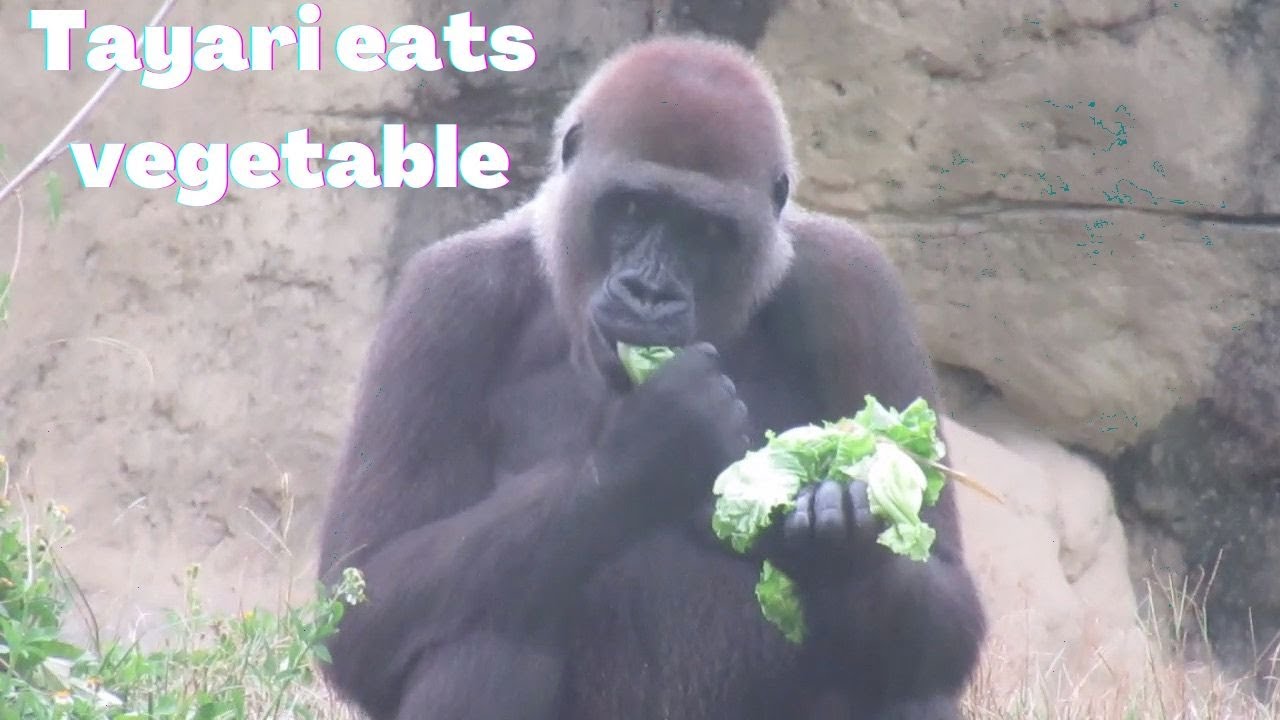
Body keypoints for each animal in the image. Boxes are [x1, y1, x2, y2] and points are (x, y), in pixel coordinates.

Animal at [317, 34, 987, 720]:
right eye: (632, 207)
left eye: (705, 230)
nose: (649, 293)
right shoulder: (446, 299)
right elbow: (366, 596)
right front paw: (654, 446)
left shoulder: (856, 282)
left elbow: (948, 596)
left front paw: (843, 545)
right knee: (486, 628)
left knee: (898, 675)